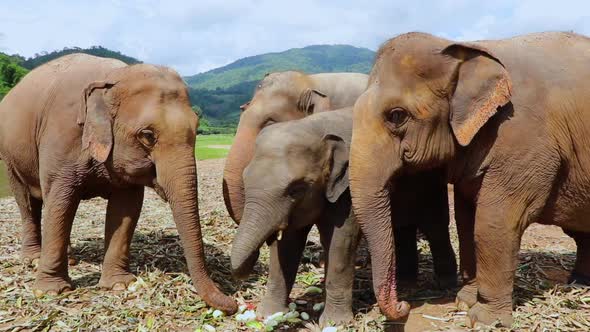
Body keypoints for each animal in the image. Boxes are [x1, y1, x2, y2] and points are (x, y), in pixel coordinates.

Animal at [0, 53, 238, 314]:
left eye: (197, 129)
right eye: (147, 136)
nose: (234, 303)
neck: (113, 77)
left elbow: (125, 208)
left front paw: (118, 286)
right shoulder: (62, 136)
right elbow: (61, 200)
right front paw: (52, 292)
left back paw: (70, 257)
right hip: (10, 157)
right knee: (28, 203)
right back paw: (34, 258)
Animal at [230, 107, 458, 326]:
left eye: (296, 189)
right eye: (245, 178)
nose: (405, 307)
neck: (314, 127)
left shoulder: (349, 187)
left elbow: (341, 241)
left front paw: (335, 323)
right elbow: (286, 244)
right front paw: (270, 315)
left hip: (430, 179)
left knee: (434, 225)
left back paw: (444, 285)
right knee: (403, 227)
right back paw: (404, 284)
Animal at [350, 31, 590, 326]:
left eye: (397, 116)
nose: (403, 305)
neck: (466, 49)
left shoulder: (525, 139)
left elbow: (493, 221)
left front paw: (484, 319)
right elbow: (466, 219)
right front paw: (464, 301)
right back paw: (579, 282)